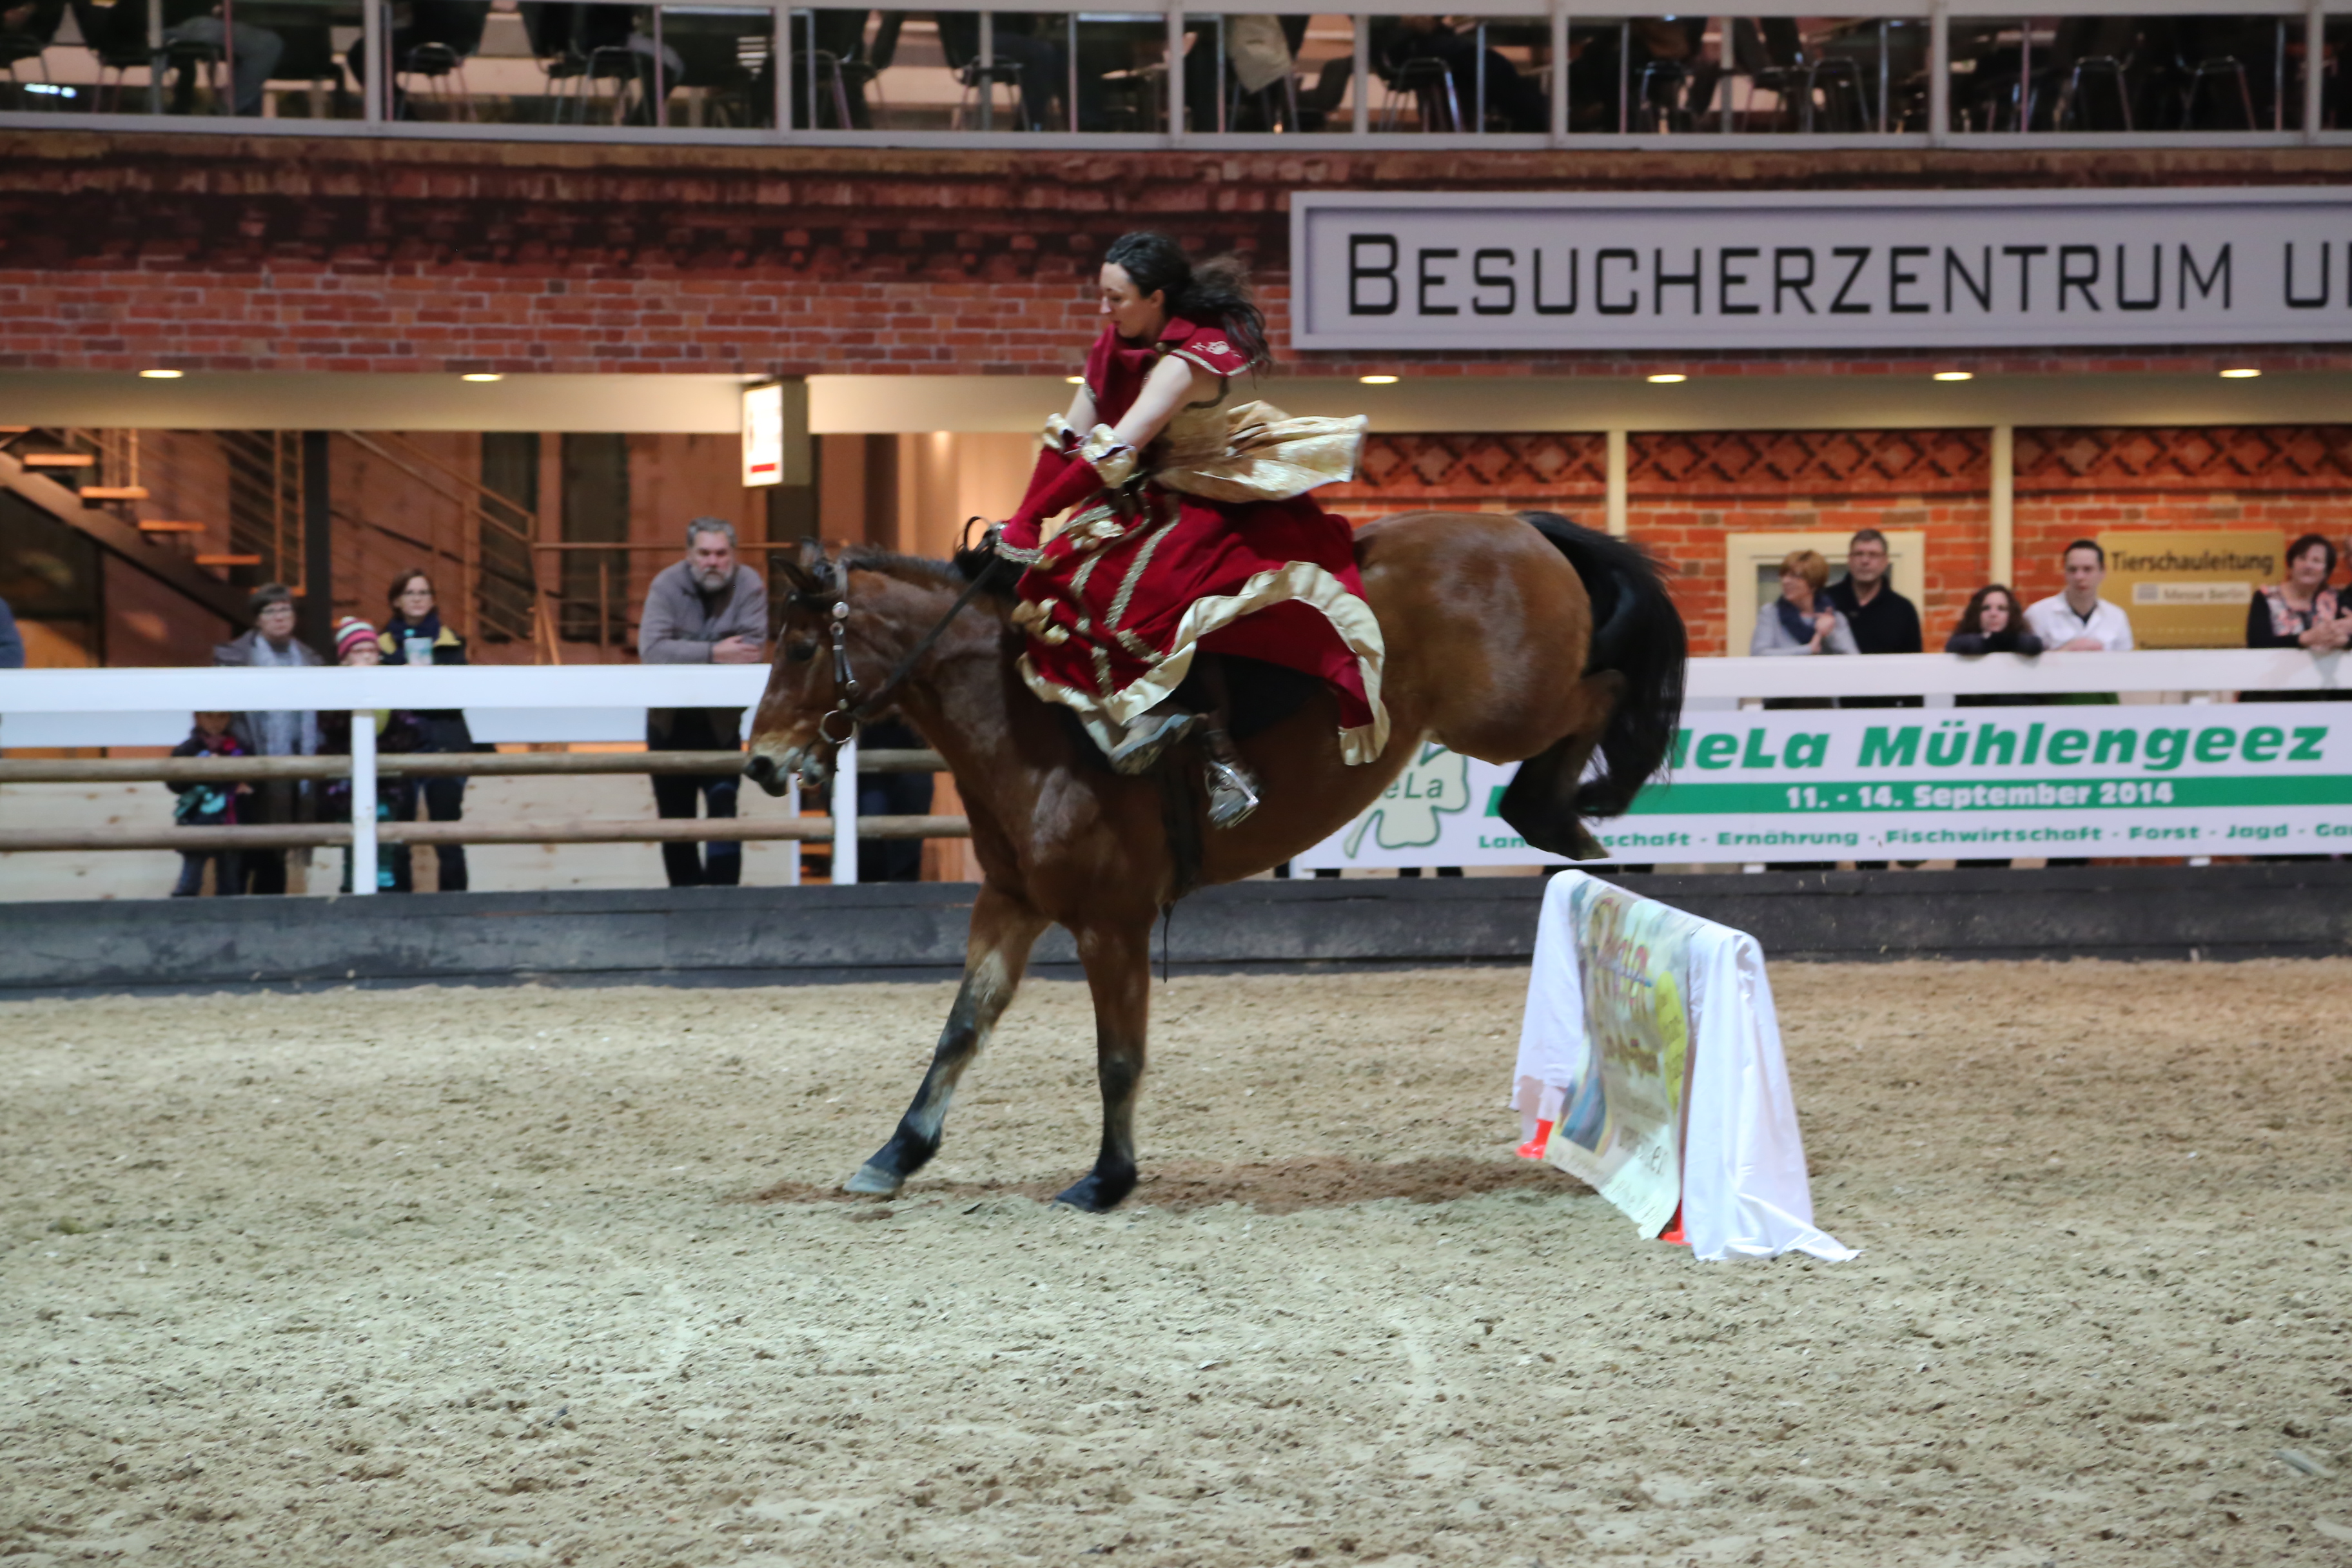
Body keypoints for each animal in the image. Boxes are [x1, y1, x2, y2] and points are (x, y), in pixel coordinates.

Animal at [744, 509, 1686, 1212]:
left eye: (799, 649)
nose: (759, 762)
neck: (1034, 718)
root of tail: (1520, 526)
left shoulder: (1111, 924)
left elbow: (1117, 1057)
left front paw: (1107, 1179)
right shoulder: (1010, 902)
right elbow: (961, 1030)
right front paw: (897, 1152)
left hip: (1503, 712)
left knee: (1601, 691)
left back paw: (1568, 807)